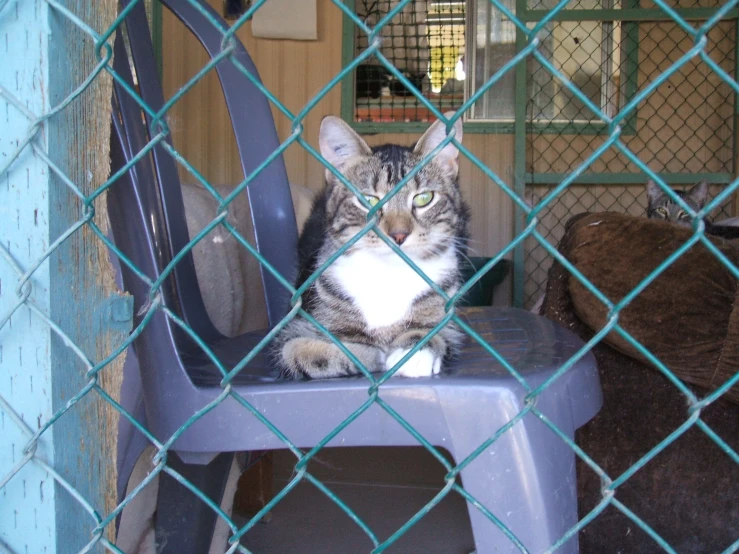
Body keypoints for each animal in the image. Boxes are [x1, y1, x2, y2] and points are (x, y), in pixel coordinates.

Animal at [274, 114, 472, 378]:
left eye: (424, 198)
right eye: (368, 200)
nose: (399, 234)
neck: (387, 274)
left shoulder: (447, 316)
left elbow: (434, 331)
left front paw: (413, 352)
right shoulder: (296, 323)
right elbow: (295, 351)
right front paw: (371, 353)